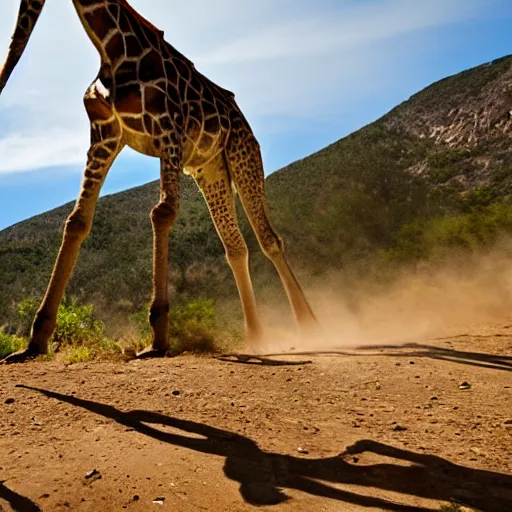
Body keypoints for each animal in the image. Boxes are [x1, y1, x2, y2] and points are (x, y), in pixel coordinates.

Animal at [0, 0, 318, 364]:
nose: (6, 72)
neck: (110, 47)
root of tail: (243, 120)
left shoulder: (169, 131)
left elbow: (162, 213)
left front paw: (159, 339)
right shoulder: (105, 134)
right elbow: (77, 221)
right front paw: (33, 343)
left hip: (243, 156)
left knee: (269, 239)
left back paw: (310, 327)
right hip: (210, 170)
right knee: (235, 246)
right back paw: (256, 337)